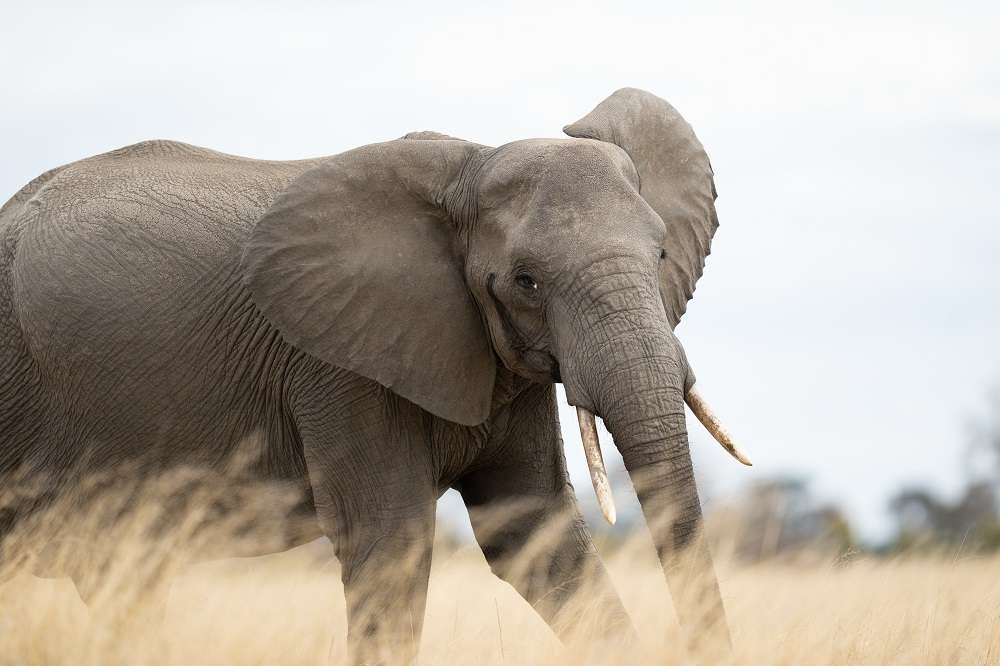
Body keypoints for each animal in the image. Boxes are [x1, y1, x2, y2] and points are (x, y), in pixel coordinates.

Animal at [0, 87, 752, 660]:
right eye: (526, 281)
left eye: (661, 254)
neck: (471, 164)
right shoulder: (338, 367)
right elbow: (390, 539)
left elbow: (535, 533)